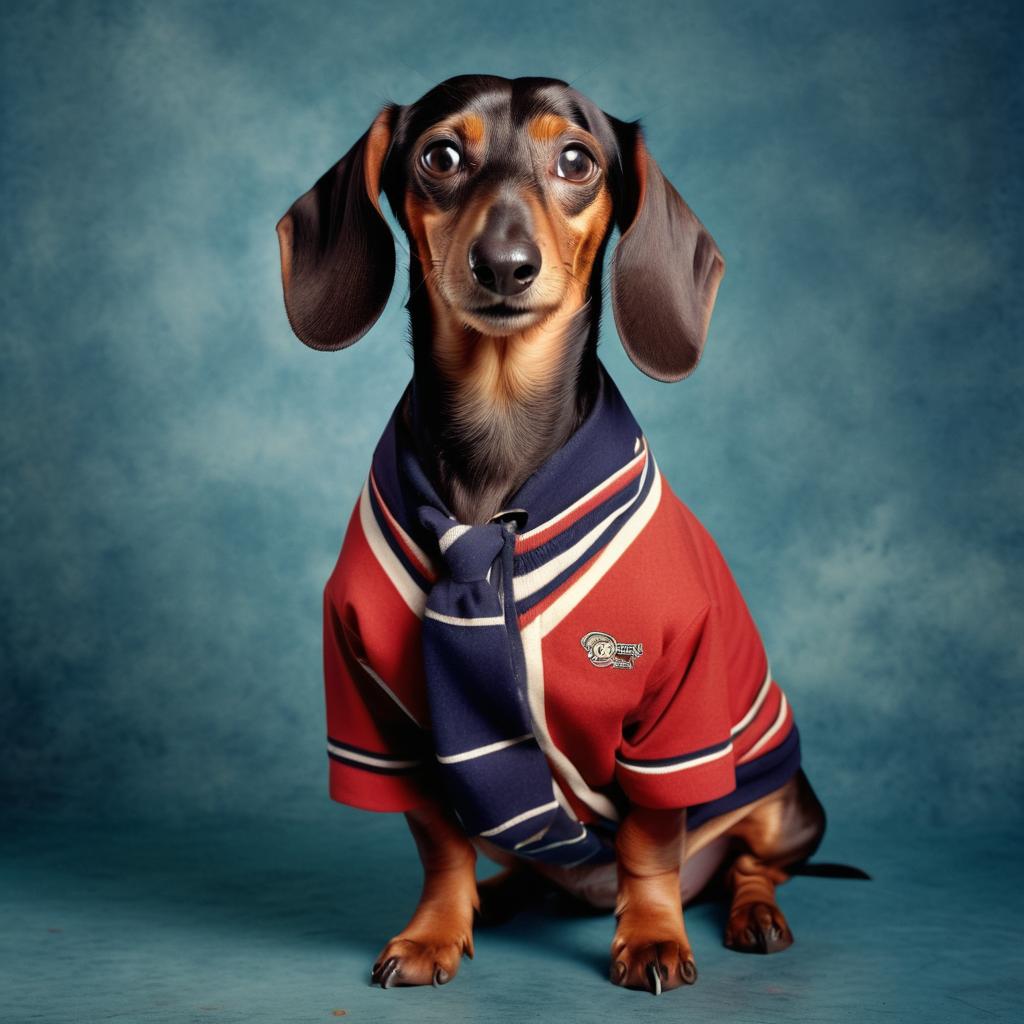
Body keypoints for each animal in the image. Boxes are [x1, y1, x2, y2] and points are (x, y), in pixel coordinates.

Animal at [278, 72, 831, 991]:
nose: (504, 265)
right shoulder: (383, 719)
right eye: (440, 156)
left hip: (780, 797)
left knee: (755, 863)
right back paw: (498, 898)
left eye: (575, 160)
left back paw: (752, 914)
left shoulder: (673, 717)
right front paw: (436, 930)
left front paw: (653, 935)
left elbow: (650, 845)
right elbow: (441, 846)